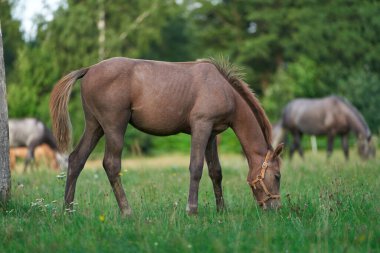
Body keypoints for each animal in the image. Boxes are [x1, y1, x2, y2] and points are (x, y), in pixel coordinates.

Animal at [49, 56, 284, 215]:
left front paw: (221, 210)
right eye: (277, 176)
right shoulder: (201, 126)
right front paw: (192, 210)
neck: (224, 90)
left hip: (94, 126)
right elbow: (196, 168)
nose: (275, 207)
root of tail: (89, 69)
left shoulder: (211, 134)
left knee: (76, 159)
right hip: (114, 126)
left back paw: (68, 210)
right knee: (111, 164)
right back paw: (127, 211)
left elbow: (216, 171)